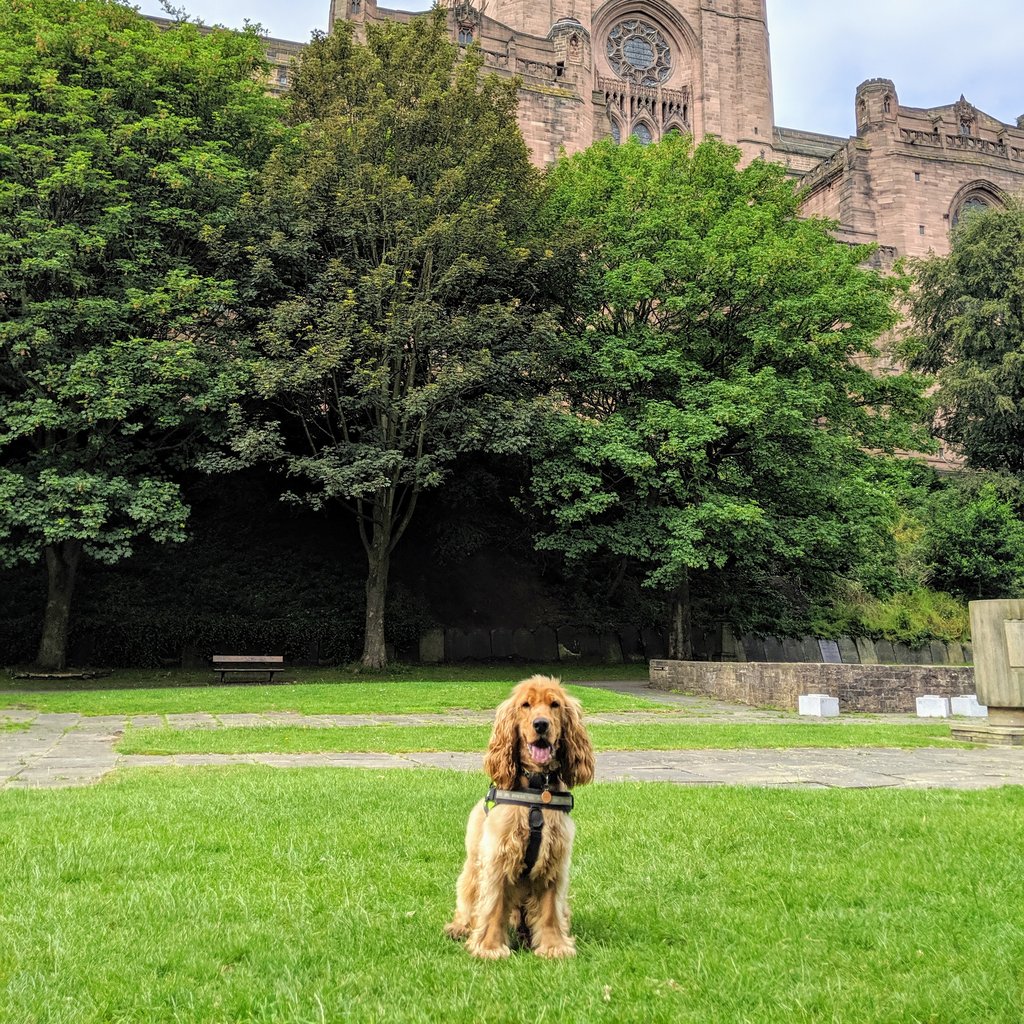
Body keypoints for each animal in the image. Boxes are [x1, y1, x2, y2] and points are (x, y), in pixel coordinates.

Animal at [444, 675, 598, 954]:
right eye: (526, 705)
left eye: (554, 704)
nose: (541, 724)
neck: (538, 786)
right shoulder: (499, 854)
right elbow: (493, 905)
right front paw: (490, 948)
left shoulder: (554, 857)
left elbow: (550, 910)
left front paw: (554, 946)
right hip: (471, 872)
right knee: (469, 904)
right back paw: (459, 928)